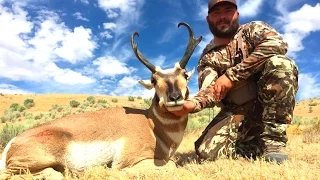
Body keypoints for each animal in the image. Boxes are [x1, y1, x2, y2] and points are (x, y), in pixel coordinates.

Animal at [0, 22, 201, 179]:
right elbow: (170, 164)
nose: (175, 98)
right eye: (153, 80)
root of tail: (12, 142)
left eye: (185, 75)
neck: (151, 125)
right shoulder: (129, 161)